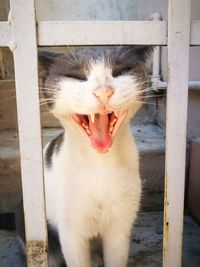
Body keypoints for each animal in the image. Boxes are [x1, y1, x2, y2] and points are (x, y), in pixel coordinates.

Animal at [16, 46, 152, 267]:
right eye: (76, 76)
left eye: (120, 71)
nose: (104, 92)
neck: (100, 165)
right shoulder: (71, 233)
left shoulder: (120, 229)